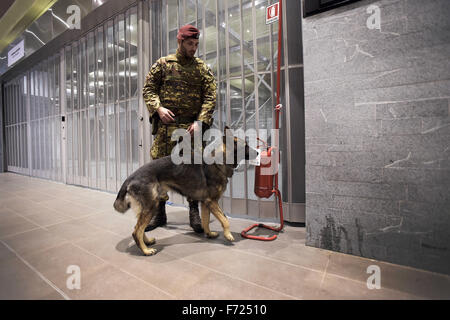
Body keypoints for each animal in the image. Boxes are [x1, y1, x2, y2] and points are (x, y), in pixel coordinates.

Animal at [112, 126, 258, 256]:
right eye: (245, 146)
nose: (257, 152)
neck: (218, 162)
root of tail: (131, 177)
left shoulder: (206, 203)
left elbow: (205, 221)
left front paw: (209, 234)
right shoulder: (212, 202)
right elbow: (225, 219)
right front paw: (228, 235)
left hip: (145, 208)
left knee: (138, 229)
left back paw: (147, 242)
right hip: (151, 206)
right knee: (136, 231)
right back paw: (146, 251)